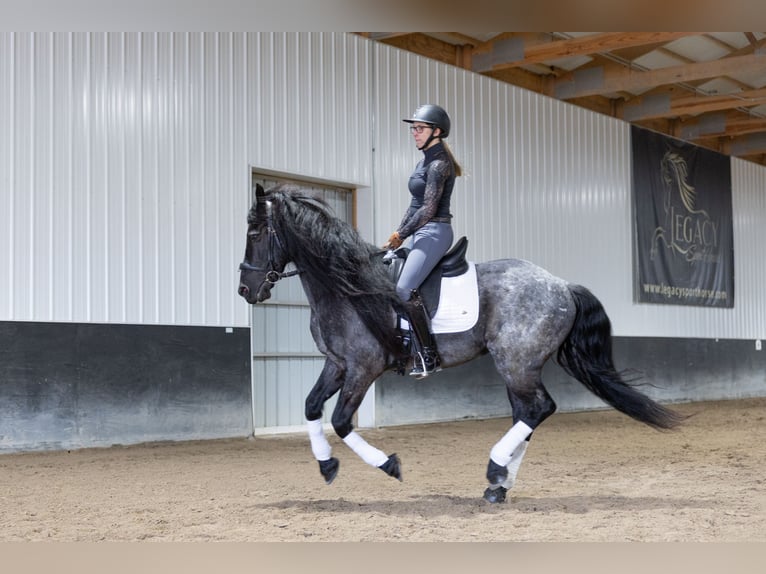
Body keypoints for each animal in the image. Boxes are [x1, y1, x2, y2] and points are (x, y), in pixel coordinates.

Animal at [238, 183, 685, 503]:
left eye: (256, 232)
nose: (246, 289)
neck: (346, 288)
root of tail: (561, 284)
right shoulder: (337, 363)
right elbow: (312, 407)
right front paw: (327, 466)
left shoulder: (364, 367)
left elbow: (342, 420)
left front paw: (390, 466)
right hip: (517, 366)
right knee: (527, 413)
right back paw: (498, 486)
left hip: (516, 362)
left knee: (539, 408)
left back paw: (495, 472)